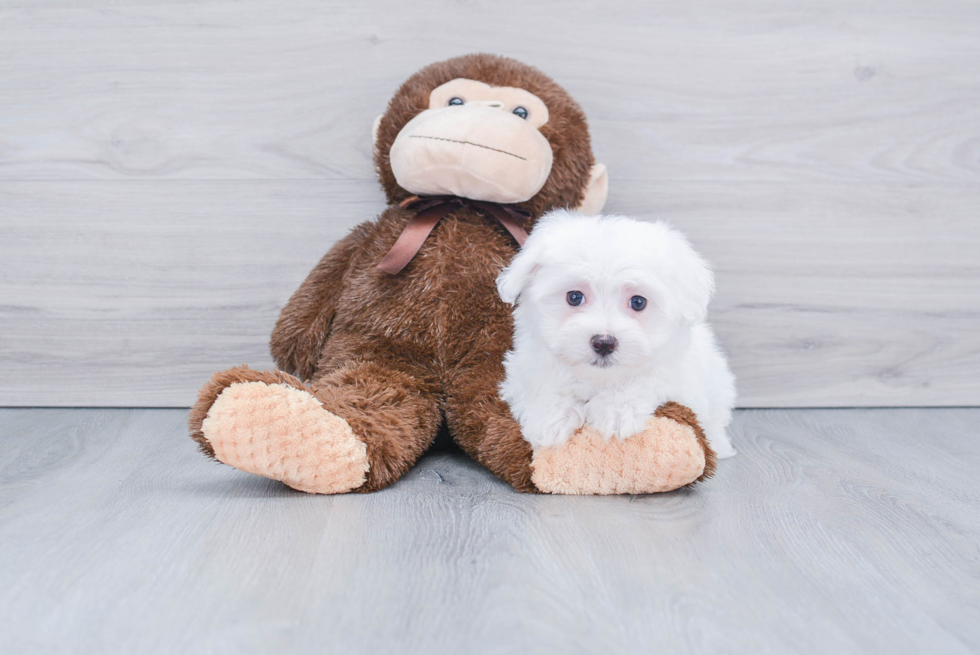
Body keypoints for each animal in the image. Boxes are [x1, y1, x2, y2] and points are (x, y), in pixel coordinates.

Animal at [498, 213, 736, 458]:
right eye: (574, 297)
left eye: (638, 302)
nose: (604, 343)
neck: (600, 378)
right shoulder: (522, 372)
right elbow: (542, 384)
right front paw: (551, 418)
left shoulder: (680, 380)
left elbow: (649, 379)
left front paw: (616, 410)